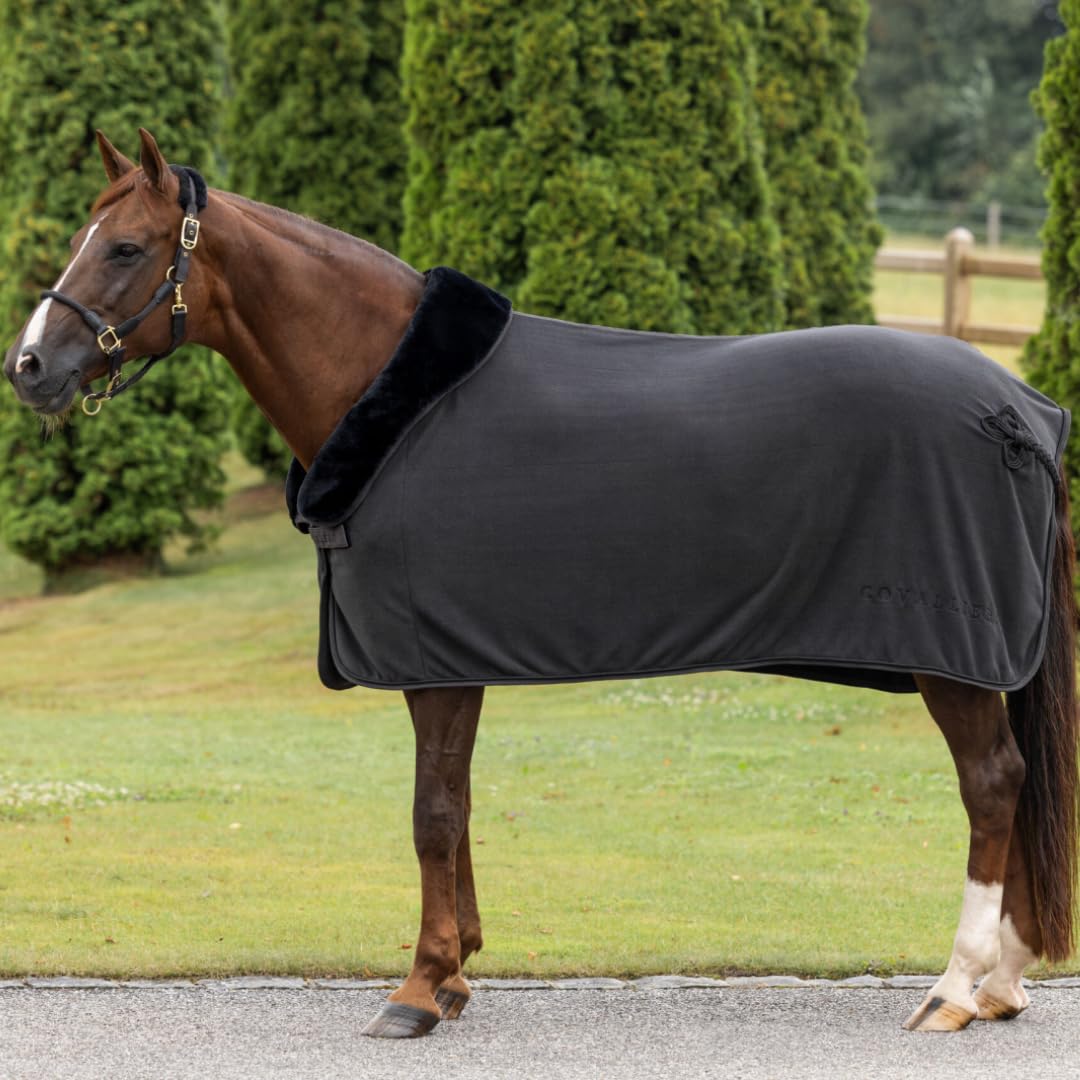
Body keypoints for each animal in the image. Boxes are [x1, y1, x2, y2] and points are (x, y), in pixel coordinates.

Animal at [4, 129, 1078, 1039]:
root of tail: (1018, 408)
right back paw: (1005, 983)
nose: (29, 367)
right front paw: (456, 971)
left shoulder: (435, 660)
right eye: (83, 238)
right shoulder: (455, 656)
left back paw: (954, 988)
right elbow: (459, 805)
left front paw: (419, 988)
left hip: (954, 659)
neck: (392, 393)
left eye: (127, 248)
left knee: (992, 784)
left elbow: (431, 814)